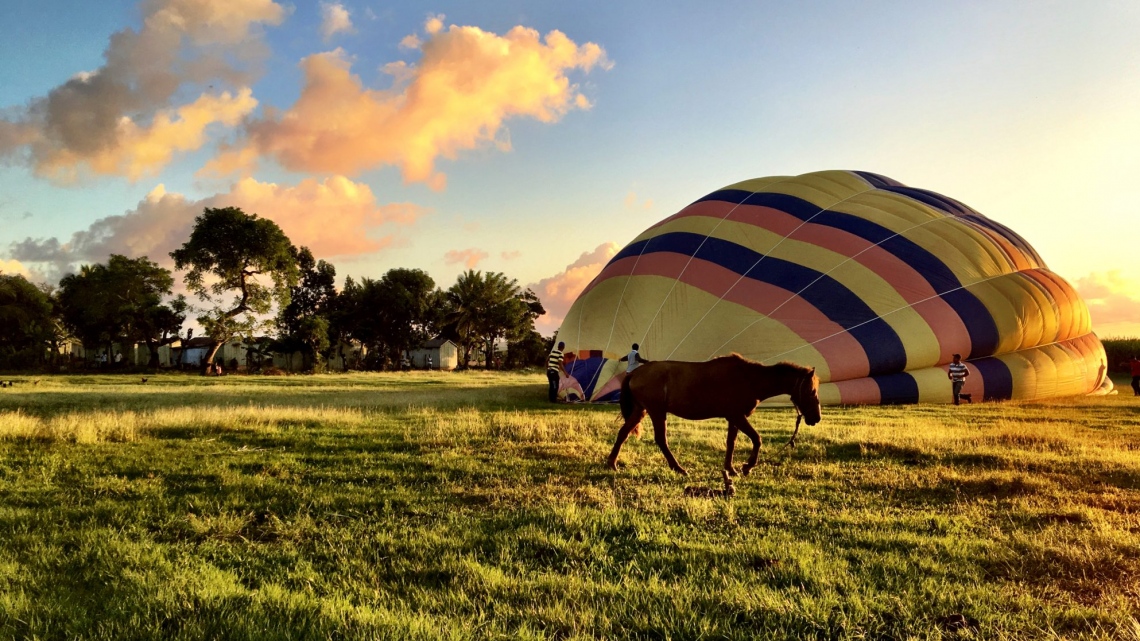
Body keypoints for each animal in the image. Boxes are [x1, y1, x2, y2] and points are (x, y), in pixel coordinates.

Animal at [606, 353, 820, 474]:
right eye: (812, 391)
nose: (816, 418)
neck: (750, 379)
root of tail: (634, 373)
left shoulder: (734, 418)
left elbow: (731, 443)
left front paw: (730, 468)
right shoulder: (737, 416)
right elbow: (757, 439)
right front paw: (747, 466)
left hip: (640, 410)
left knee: (623, 433)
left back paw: (612, 463)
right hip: (656, 412)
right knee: (661, 439)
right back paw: (678, 468)